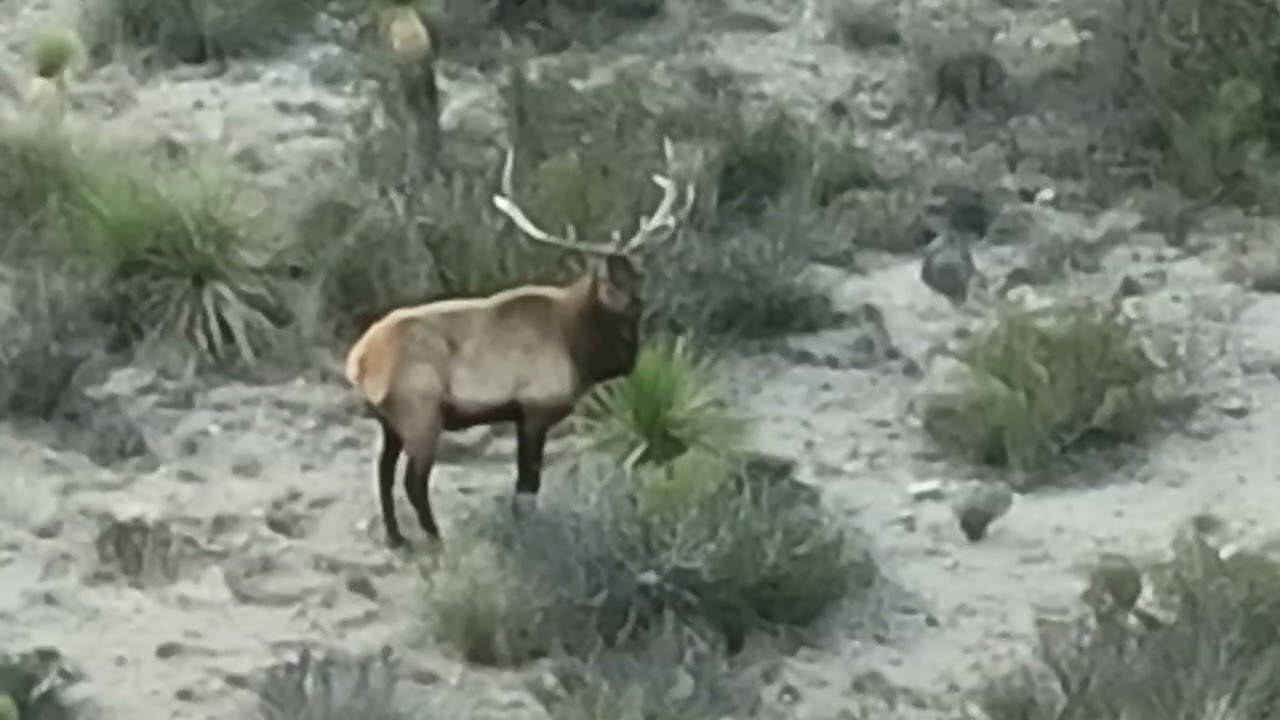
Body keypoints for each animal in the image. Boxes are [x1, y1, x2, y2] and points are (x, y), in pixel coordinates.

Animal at [345, 140, 695, 550]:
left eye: (637, 273)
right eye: (606, 278)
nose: (634, 304)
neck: (581, 350)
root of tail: (359, 361)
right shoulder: (535, 407)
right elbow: (528, 483)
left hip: (390, 421)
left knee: (383, 472)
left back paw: (397, 536)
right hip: (421, 412)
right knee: (413, 481)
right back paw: (435, 536)